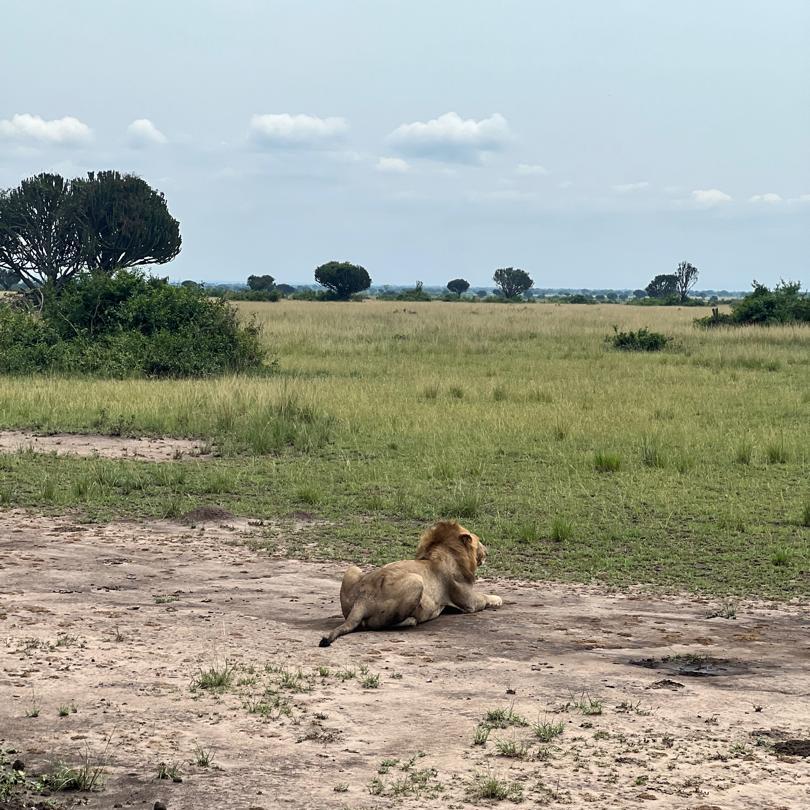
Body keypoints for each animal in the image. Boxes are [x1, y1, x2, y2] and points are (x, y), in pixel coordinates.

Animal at [318, 520, 498, 648]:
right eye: (479, 541)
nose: (488, 551)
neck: (446, 551)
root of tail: (363, 598)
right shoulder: (469, 601)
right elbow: (485, 597)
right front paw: (498, 599)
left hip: (352, 569)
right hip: (416, 581)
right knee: (377, 625)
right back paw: (412, 620)